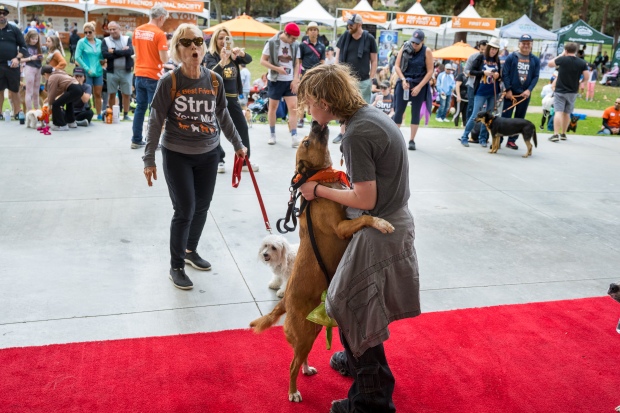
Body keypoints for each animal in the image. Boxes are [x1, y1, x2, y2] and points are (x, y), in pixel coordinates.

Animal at [247, 120, 392, 400]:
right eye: (306, 141)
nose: (315, 121)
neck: (321, 179)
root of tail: (284, 302)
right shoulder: (341, 227)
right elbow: (365, 217)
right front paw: (381, 222)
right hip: (304, 335)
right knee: (291, 365)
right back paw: (293, 392)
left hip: (311, 332)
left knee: (299, 357)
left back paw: (306, 369)